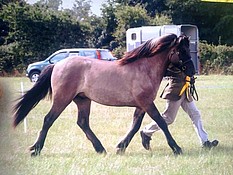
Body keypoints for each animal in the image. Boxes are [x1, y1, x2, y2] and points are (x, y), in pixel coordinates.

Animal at [12, 33, 195, 156]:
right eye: (182, 51)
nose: (192, 72)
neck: (144, 68)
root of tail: (56, 65)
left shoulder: (142, 105)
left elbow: (135, 125)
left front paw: (121, 147)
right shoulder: (147, 103)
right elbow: (161, 122)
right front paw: (177, 148)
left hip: (83, 100)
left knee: (82, 123)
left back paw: (100, 149)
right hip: (62, 99)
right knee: (49, 119)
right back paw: (35, 149)